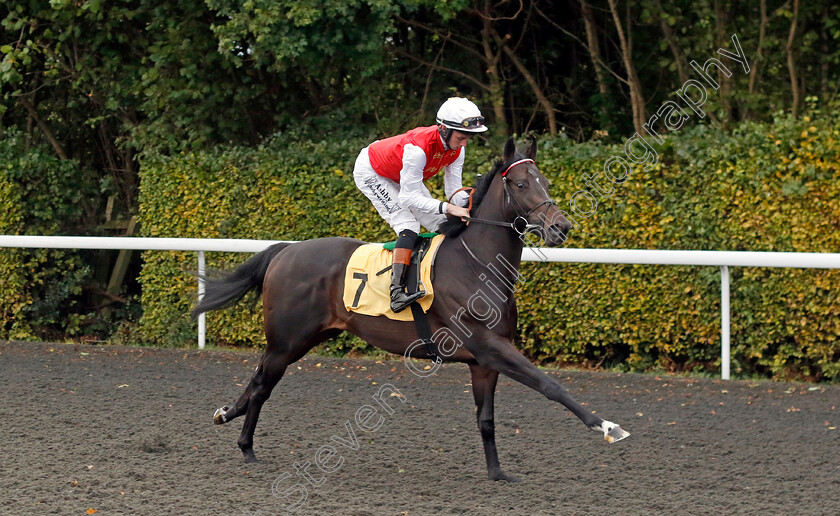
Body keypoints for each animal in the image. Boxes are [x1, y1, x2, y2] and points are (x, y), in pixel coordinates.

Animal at [194, 136, 628, 480]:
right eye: (521, 184)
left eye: (546, 182)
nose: (561, 227)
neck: (475, 264)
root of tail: (286, 251)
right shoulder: (491, 347)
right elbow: (550, 385)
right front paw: (607, 426)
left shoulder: (483, 361)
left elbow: (486, 420)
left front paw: (497, 473)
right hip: (288, 341)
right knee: (262, 386)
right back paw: (246, 447)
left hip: (302, 338)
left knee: (258, 380)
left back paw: (227, 415)